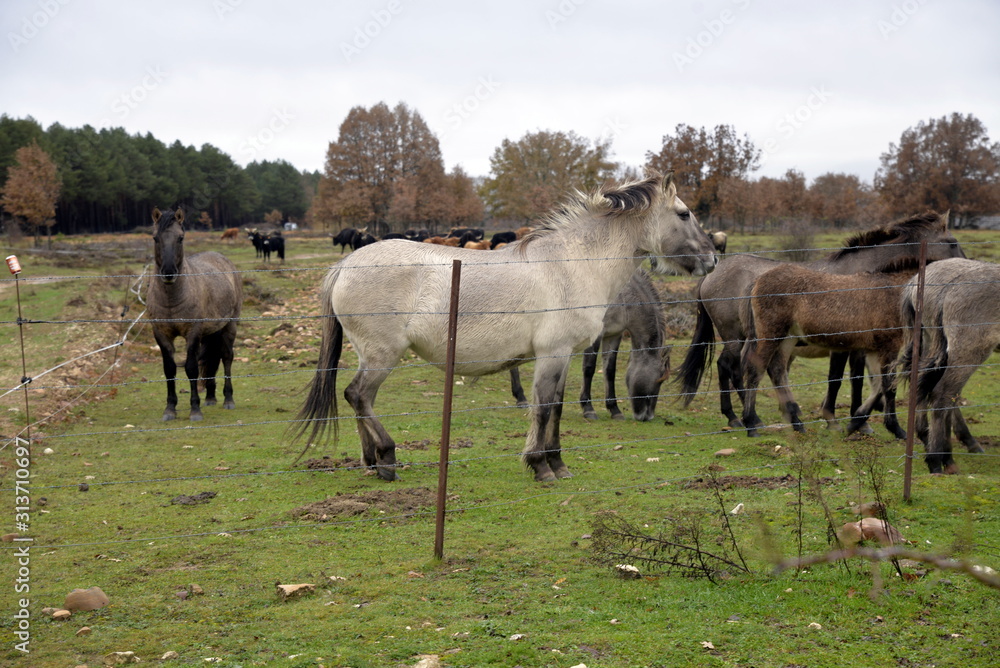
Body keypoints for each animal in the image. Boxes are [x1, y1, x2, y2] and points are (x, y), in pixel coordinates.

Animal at [147, 208, 243, 421]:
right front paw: (170, 409)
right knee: (210, 359)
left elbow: (191, 368)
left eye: (180, 238)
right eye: (155, 238)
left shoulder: (193, 333)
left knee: (226, 357)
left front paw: (195, 410)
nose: (168, 272)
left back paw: (228, 399)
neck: (172, 299)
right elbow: (169, 369)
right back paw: (210, 397)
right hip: (211, 332)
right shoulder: (161, 334)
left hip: (229, 325)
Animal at [508, 269, 669, 421]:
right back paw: (521, 398)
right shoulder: (596, 335)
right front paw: (588, 408)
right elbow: (589, 368)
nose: (647, 416)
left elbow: (610, 370)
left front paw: (614, 409)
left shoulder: (614, 335)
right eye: (659, 380)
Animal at [738, 260, 929, 438]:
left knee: (778, 371)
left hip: (788, 339)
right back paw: (751, 424)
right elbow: (889, 386)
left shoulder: (874, 350)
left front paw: (856, 422)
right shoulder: (889, 347)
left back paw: (797, 423)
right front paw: (896, 429)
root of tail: (758, 279)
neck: (895, 291)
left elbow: (878, 385)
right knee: (756, 370)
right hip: (771, 335)